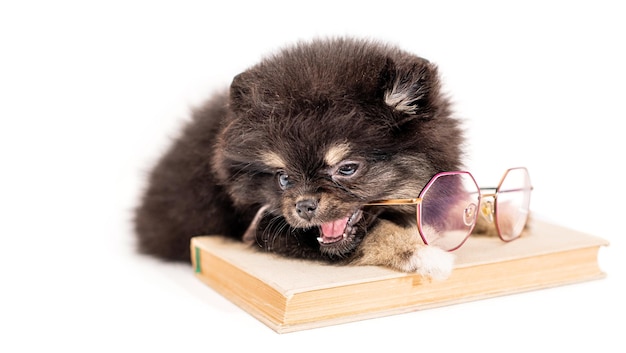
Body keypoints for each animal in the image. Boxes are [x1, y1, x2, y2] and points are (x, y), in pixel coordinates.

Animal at [133, 35, 464, 278]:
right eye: (283, 178)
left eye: (347, 168)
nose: (304, 206)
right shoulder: (265, 228)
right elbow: (378, 233)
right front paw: (423, 253)